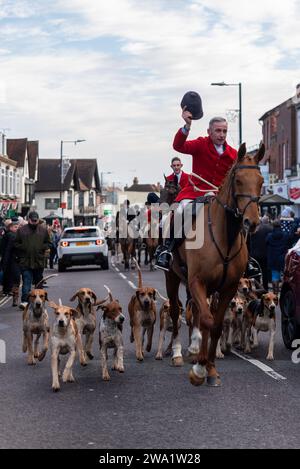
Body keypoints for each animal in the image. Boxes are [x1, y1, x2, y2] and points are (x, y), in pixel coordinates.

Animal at [164, 143, 264, 384]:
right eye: (238, 180)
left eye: (261, 181)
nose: (252, 222)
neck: (223, 235)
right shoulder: (197, 282)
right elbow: (207, 321)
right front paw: (199, 368)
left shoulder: (227, 288)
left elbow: (215, 325)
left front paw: (209, 367)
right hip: (172, 277)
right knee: (176, 312)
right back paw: (178, 353)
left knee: (197, 313)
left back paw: (194, 348)